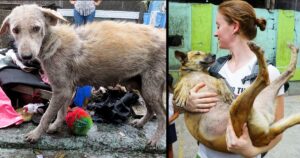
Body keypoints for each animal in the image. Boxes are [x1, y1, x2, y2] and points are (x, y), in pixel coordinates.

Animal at [0, 4, 166, 146]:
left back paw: (155, 139)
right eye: (15, 30)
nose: (26, 57)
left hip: (150, 88)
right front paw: (55, 126)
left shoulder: (61, 90)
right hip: (142, 86)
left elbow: (46, 116)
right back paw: (141, 123)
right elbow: (61, 112)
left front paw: (36, 134)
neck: (53, 42)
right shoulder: (67, 90)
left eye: (36, 28)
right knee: (151, 110)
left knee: (163, 115)